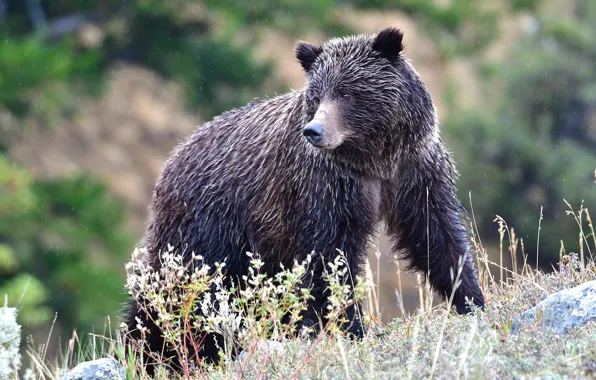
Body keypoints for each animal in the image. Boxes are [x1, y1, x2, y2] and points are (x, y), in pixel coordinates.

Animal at [121, 27, 484, 374]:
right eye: (317, 94)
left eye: (347, 93)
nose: (314, 131)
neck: (374, 159)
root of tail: (171, 160)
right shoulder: (323, 187)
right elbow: (330, 258)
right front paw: (351, 328)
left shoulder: (414, 171)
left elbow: (435, 234)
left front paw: (471, 298)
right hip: (207, 226)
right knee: (175, 289)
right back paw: (148, 349)